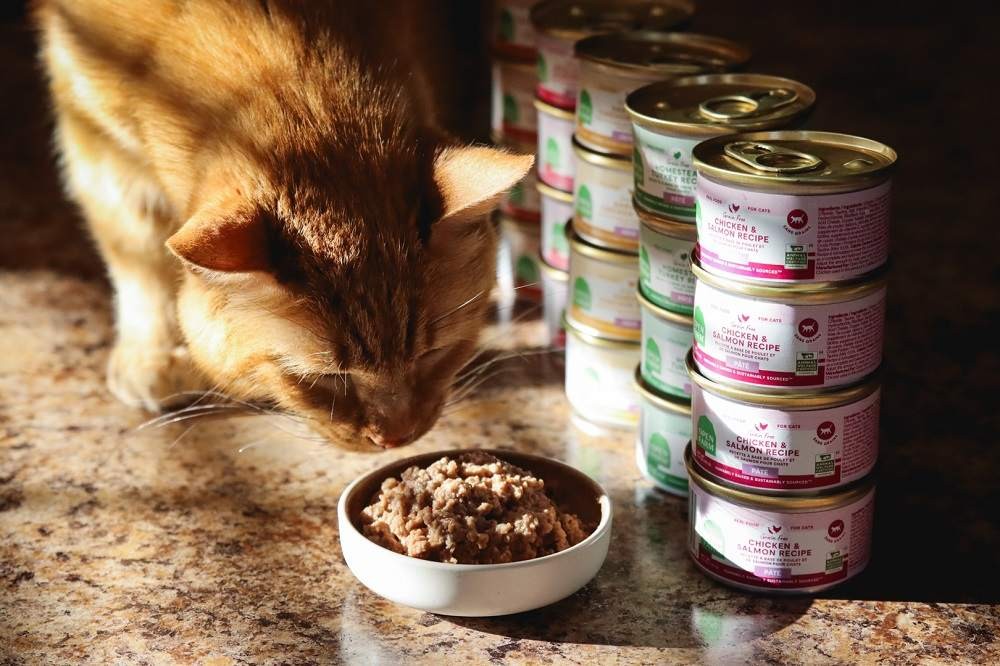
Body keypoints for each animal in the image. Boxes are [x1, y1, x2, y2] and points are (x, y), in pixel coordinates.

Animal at [33, 0, 532, 448]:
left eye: (435, 353)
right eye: (328, 377)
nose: (397, 438)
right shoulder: (90, 123)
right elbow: (137, 253)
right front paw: (154, 350)